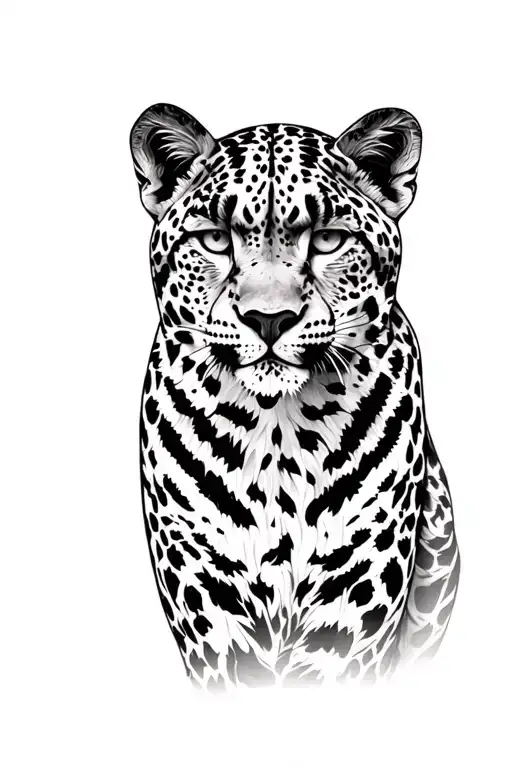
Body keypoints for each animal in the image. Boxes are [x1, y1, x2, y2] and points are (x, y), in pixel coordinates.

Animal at [129, 103, 460, 691]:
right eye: (215, 239)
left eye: (327, 240)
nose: (269, 319)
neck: (278, 427)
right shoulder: (206, 587)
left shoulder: (357, 585)